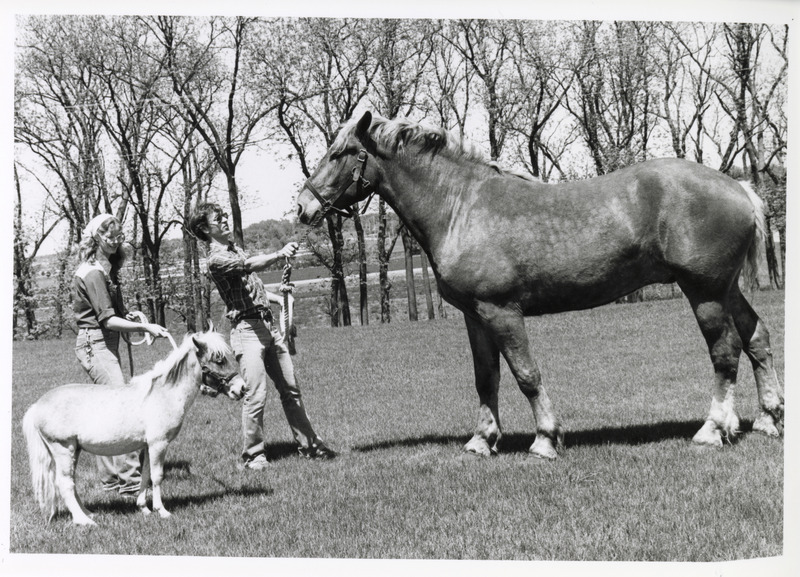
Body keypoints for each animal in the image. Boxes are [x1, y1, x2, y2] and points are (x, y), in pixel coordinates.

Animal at [22, 328, 246, 525]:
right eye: (219, 359)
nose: (241, 388)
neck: (163, 393)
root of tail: (37, 405)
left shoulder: (146, 446)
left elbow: (145, 475)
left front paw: (144, 508)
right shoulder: (159, 444)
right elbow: (157, 476)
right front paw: (162, 511)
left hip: (74, 450)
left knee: (71, 482)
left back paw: (89, 513)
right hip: (63, 448)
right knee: (65, 483)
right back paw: (83, 521)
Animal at [296, 111, 784, 460]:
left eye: (340, 153)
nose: (303, 207)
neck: (460, 207)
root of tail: (739, 188)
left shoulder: (502, 312)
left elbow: (526, 375)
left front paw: (546, 440)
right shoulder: (475, 316)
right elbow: (485, 378)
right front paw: (482, 440)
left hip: (704, 292)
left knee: (725, 352)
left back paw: (714, 428)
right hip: (726, 289)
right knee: (756, 338)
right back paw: (768, 418)